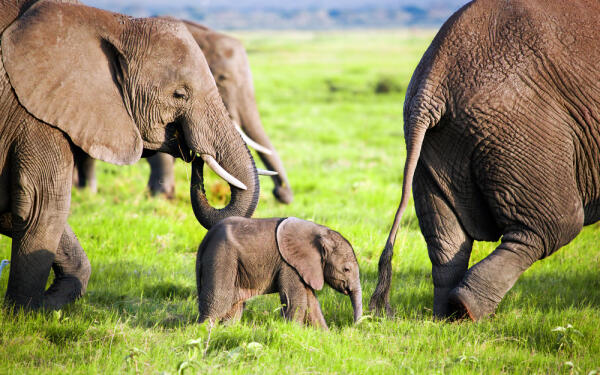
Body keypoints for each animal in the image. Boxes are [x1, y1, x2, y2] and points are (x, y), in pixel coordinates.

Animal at [0, 0, 258, 310]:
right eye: (179, 95)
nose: (196, 158)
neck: (111, 22)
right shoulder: (32, 114)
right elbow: (42, 206)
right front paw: (24, 314)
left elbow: (18, 212)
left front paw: (46, 306)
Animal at [199, 217, 364, 328]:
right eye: (346, 269)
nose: (353, 326)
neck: (320, 231)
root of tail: (206, 238)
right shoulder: (288, 264)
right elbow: (296, 300)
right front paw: (293, 331)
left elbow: (311, 303)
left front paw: (325, 337)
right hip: (222, 256)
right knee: (219, 300)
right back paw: (205, 331)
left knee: (234, 307)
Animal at [368, 0, 600, 322]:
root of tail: (433, 81)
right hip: (520, 127)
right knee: (553, 225)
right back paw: (467, 309)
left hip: (435, 145)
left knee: (446, 240)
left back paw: (446, 316)